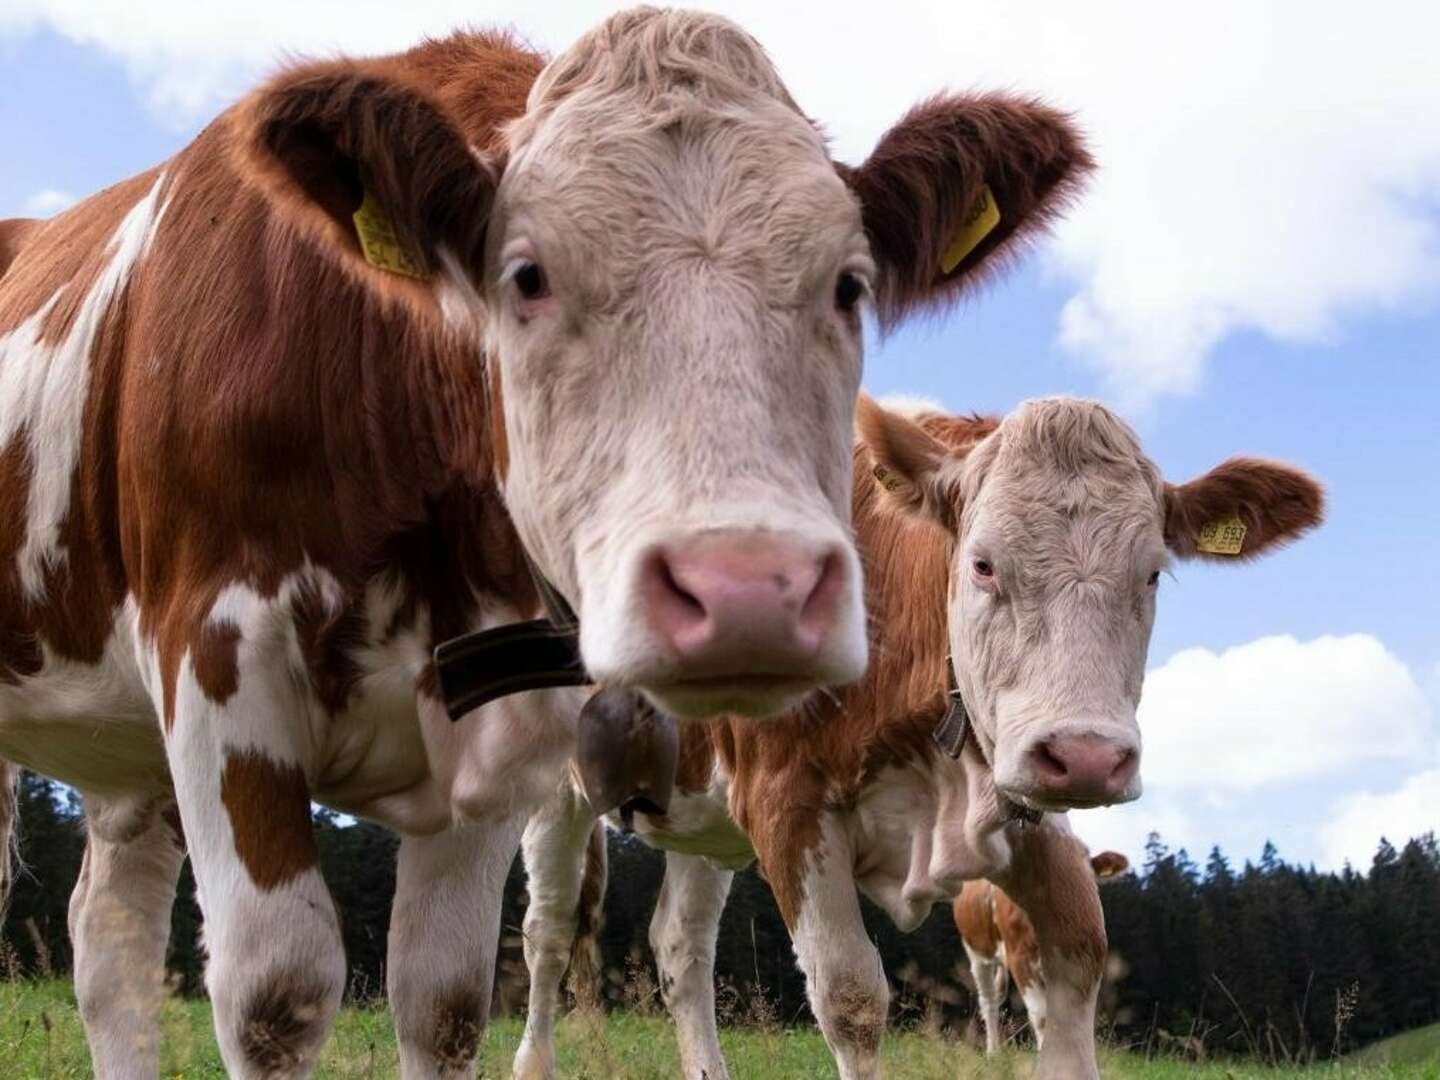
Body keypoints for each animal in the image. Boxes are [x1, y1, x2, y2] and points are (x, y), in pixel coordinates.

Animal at [0, 8, 1088, 1080]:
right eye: (525, 276)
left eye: (849, 285)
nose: (750, 592)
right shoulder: (220, 663)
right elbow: (277, 995)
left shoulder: (496, 734)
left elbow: (441, 1004)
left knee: (111, 943)